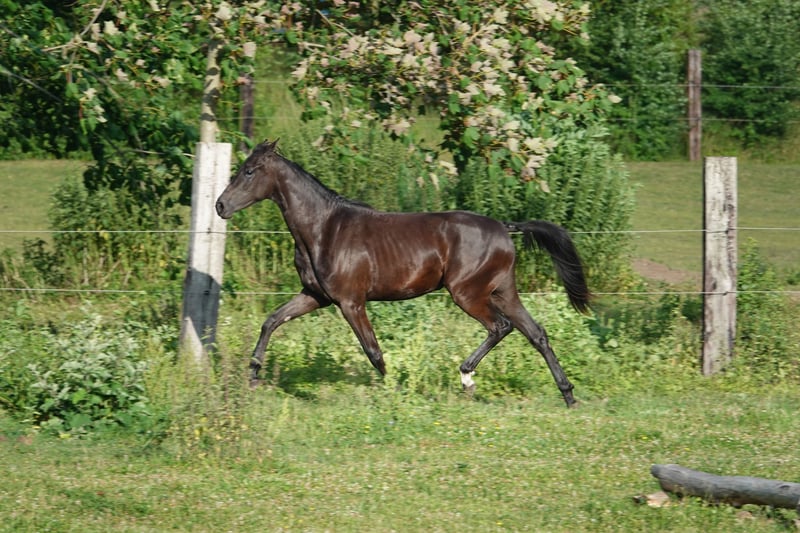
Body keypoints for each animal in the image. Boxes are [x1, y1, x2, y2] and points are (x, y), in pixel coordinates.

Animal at [215, 139, 590, 407]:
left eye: (249, 171)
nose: (220, 205)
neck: (324, 229)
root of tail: (503, 227)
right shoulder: (315, 296)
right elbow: (272, 320)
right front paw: (253, 374)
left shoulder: (351, 302)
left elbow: (373, 351)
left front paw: (394, 391)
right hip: (502, 291)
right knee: (536, 334)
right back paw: (568, 395)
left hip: (467, 293)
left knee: (500, 327)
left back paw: (467, 378)